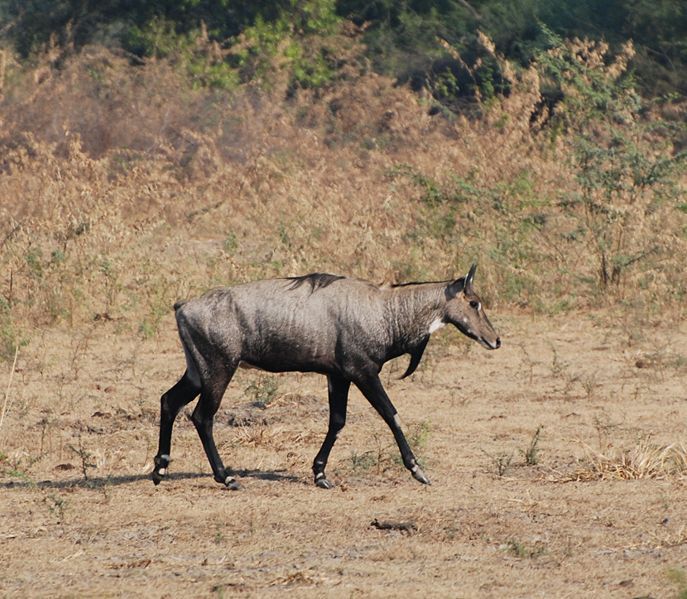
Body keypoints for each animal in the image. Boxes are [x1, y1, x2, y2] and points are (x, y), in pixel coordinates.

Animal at [153, 264, 502, 490]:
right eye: (474, 302)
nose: (496, 340)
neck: (383, 309)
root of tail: (183, 306)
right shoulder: (363, 372)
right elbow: (391, 414)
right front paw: (418, 470)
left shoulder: (338, 376)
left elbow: (337, 421)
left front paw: (320, 475)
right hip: (220, 370)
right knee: (202, 416)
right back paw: (225, 477)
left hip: (197, 372)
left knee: (169, 400)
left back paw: (160, 469)